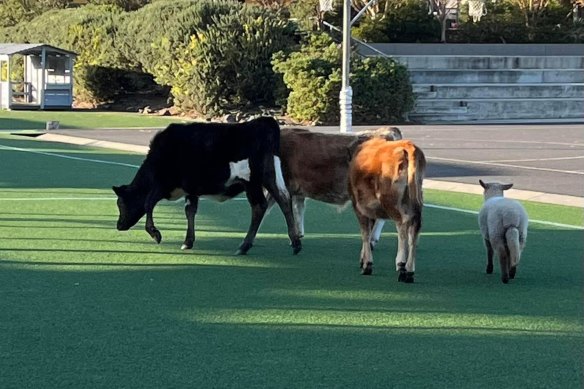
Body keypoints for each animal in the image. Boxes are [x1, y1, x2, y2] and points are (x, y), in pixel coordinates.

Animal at [346, 136, 424, 282]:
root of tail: (409, 146)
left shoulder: (358, 207)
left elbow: (365, 233)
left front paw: (367, 265)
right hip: (415, 201)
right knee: (414, 231)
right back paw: (409, 271)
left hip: (392, 201)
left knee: (402, 227)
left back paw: (402, 266)